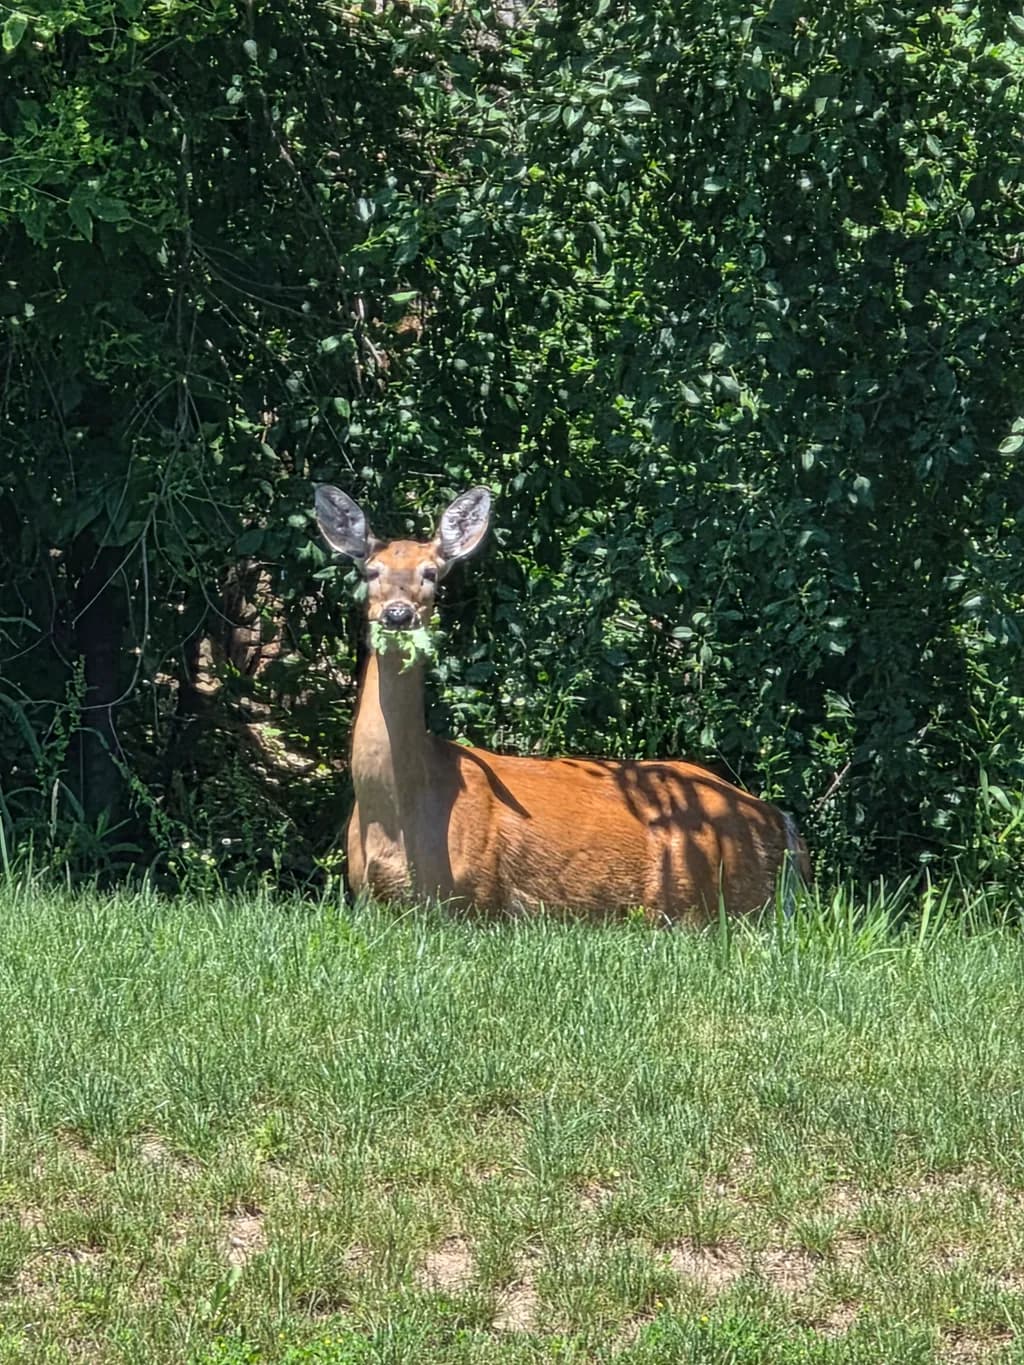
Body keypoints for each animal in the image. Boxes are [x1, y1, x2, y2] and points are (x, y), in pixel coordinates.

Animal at [315, 483, 810, 922]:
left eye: (432, 573)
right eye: (370, 571)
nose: (398, 614)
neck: (398, 817)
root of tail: (780, 824)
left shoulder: (474, 900)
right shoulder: (365, 899)